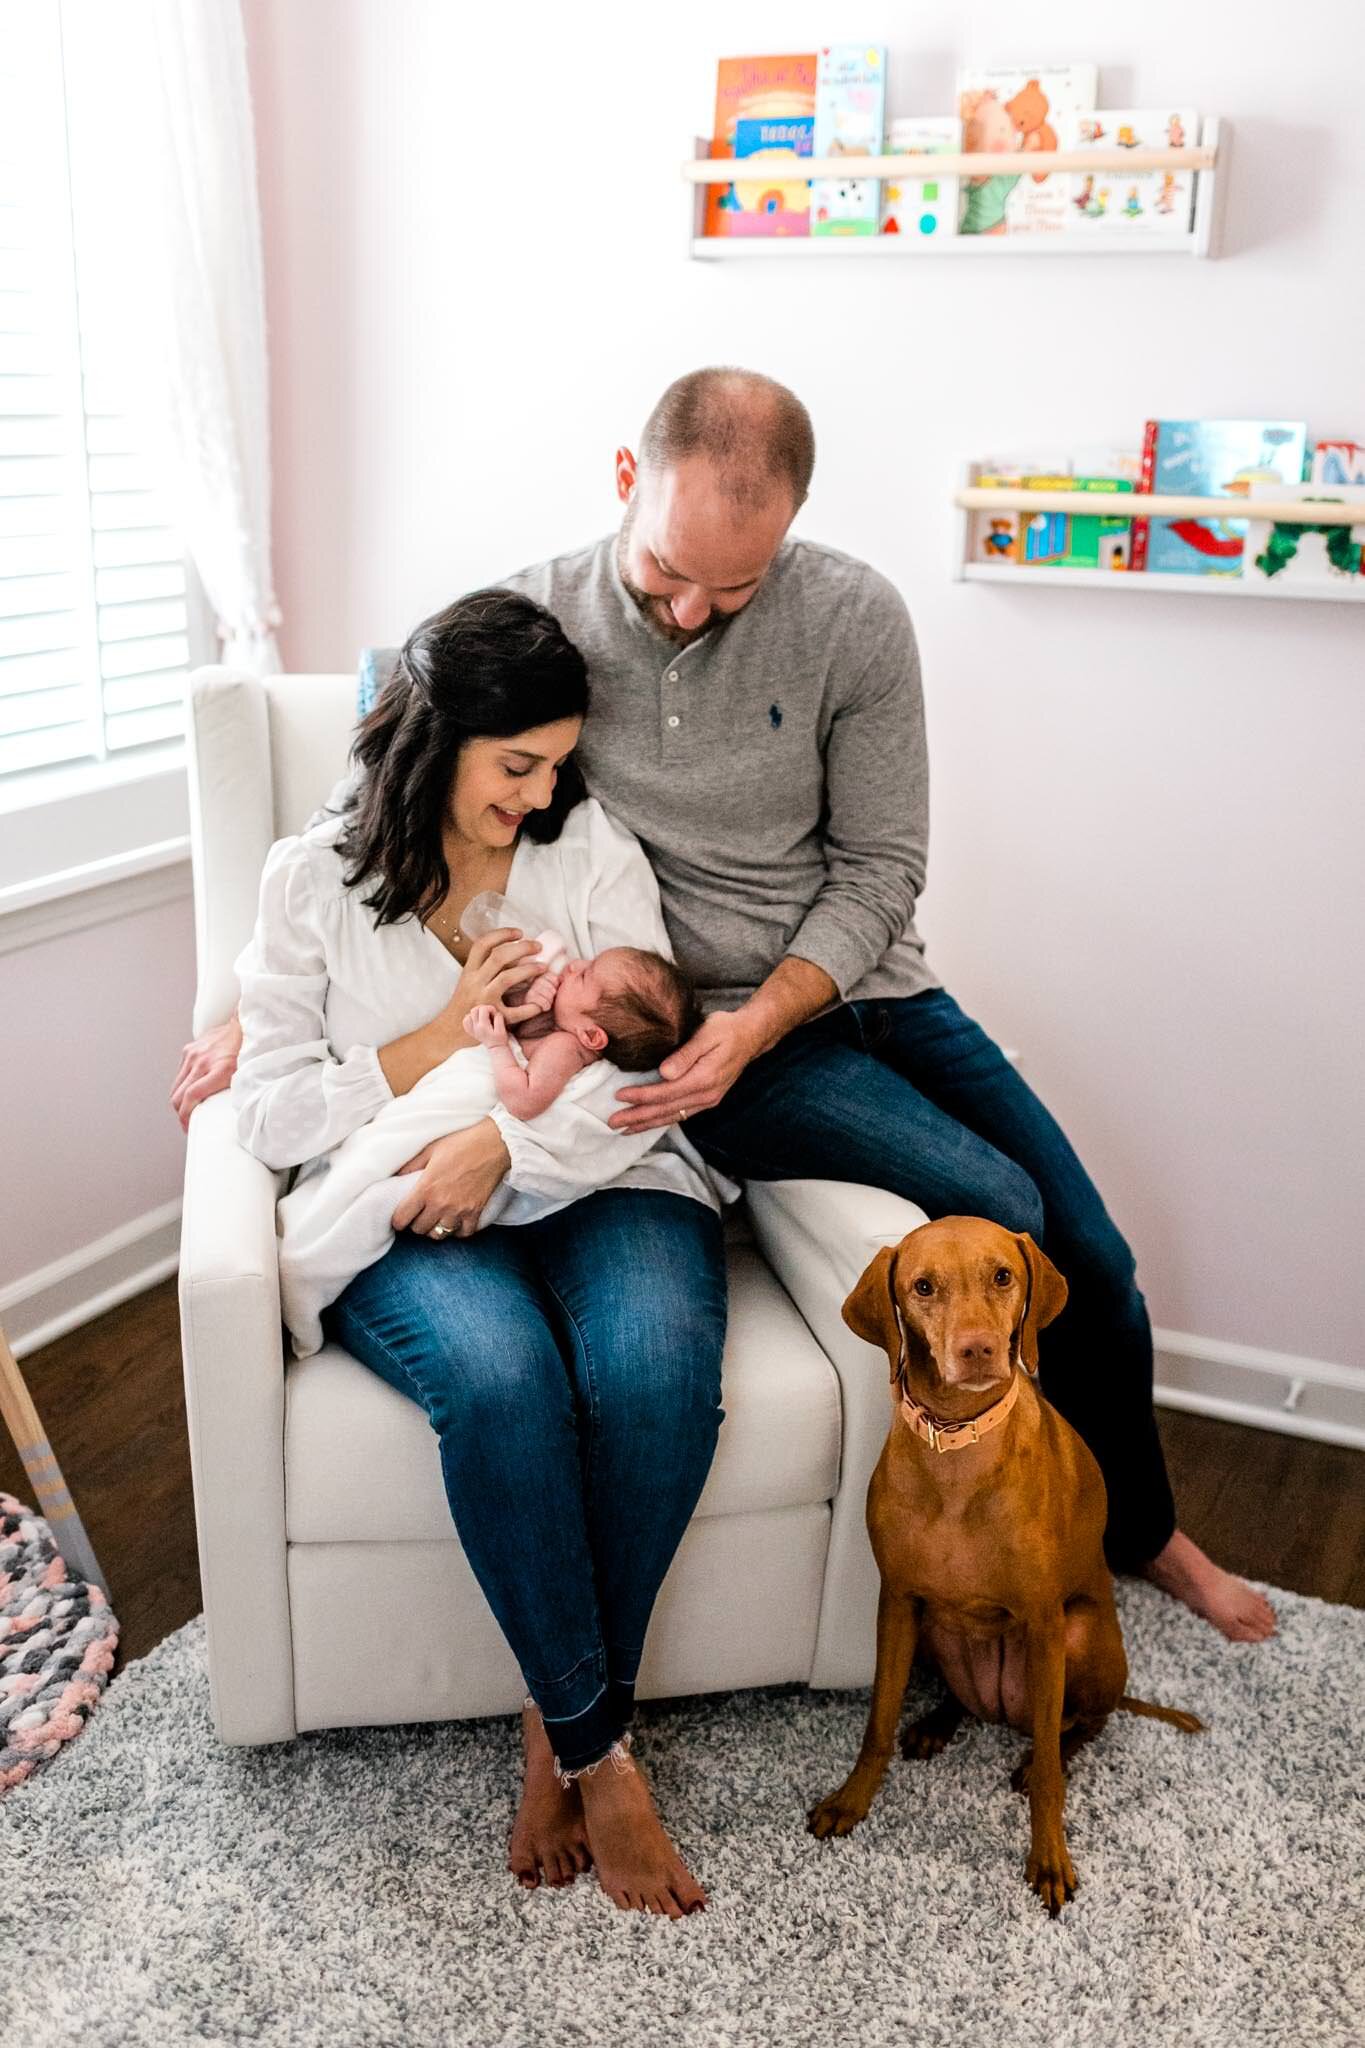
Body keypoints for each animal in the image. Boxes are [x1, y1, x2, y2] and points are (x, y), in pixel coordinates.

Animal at [806, 1212, 1203, 1900]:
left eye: (1002, 1276)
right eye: (923, 1286)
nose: (978, 1349)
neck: (957, 1446)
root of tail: (999, 1709)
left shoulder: (1044, 1625)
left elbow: (1047, 1772)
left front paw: (1048, 1857)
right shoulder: (897, 1602)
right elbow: (876, 1724)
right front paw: (852, 1801)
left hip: (1079, 1639)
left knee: (1082, 1725)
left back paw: (1046, 1752)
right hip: (932, 1629)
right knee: (963, 1700)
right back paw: (937, 1722)